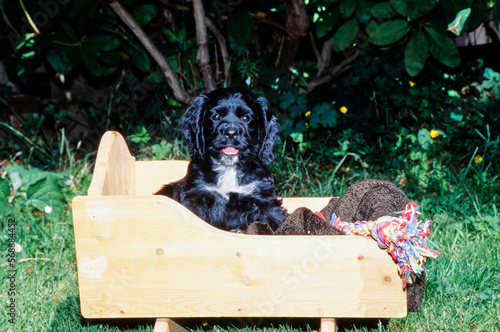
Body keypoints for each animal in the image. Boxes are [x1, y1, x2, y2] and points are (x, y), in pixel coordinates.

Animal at [156, 88, 290, 231]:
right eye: (215, 117)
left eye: (246, 118)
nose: (231, 133)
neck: (228, 167)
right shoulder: (196, 196)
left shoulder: (262, 197)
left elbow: (276, 218)